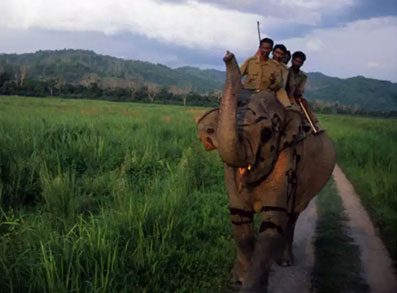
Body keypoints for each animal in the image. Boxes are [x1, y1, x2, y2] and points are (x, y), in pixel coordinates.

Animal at [195, 51, 334, 290]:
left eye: (267, 134)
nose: (228, 55)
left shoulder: (286, 158)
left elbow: (271, 224)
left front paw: (252, 286)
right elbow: (239, 219)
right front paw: (238, 279)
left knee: (293, 216)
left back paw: (284, 260)